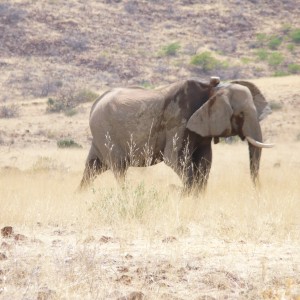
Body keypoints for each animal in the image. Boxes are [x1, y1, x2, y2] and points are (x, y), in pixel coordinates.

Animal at [80, 76, 274, 191]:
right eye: (240, 115)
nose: (257, 189)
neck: (211, 91)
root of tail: (95, 104)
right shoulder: (178, 122)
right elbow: (175, 159)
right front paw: (188, 194)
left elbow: (205, 161)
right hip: (105, 131)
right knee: (119, 168)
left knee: (93, 167)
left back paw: (80, 194)